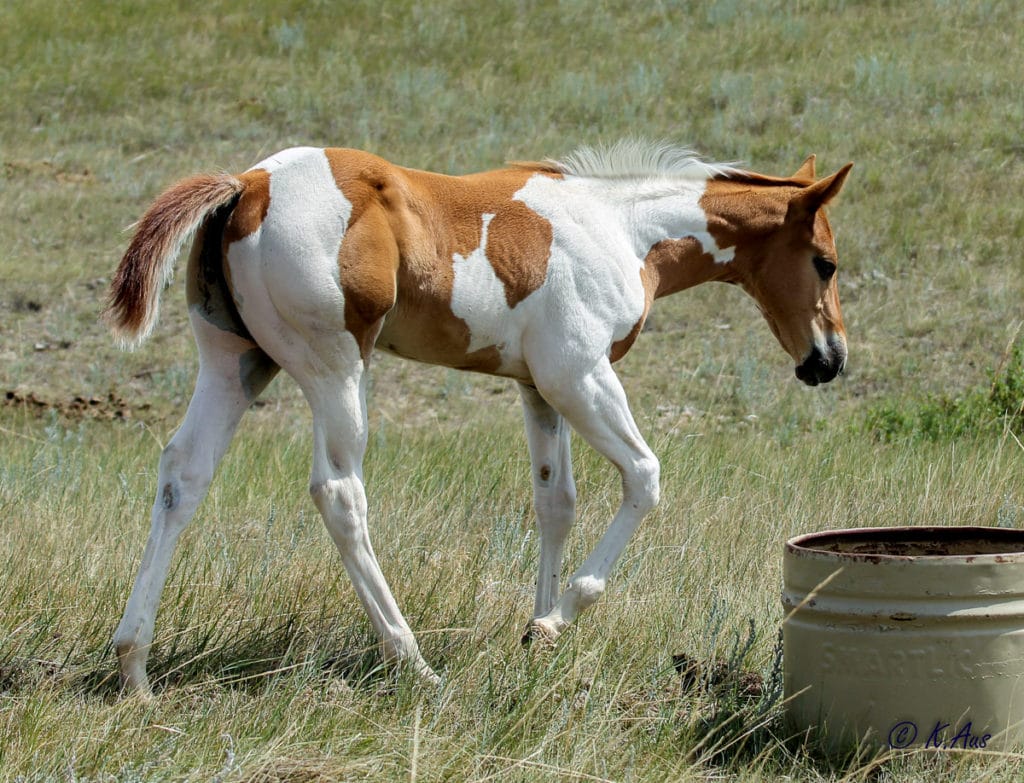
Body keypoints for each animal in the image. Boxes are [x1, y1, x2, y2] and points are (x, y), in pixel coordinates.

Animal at [108, 139, 851, 691]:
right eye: (825, 263)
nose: (829, 359)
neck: (621, 227)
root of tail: (249, 184)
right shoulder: (579, 373)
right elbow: (644, 476)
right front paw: (558, 618)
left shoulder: (537, 389)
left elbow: (557, 502)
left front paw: (535, 633)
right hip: (334, 368)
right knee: (340, 492)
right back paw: (412, 661)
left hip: (236, 362)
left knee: (183, 475)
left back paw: (134, 668)